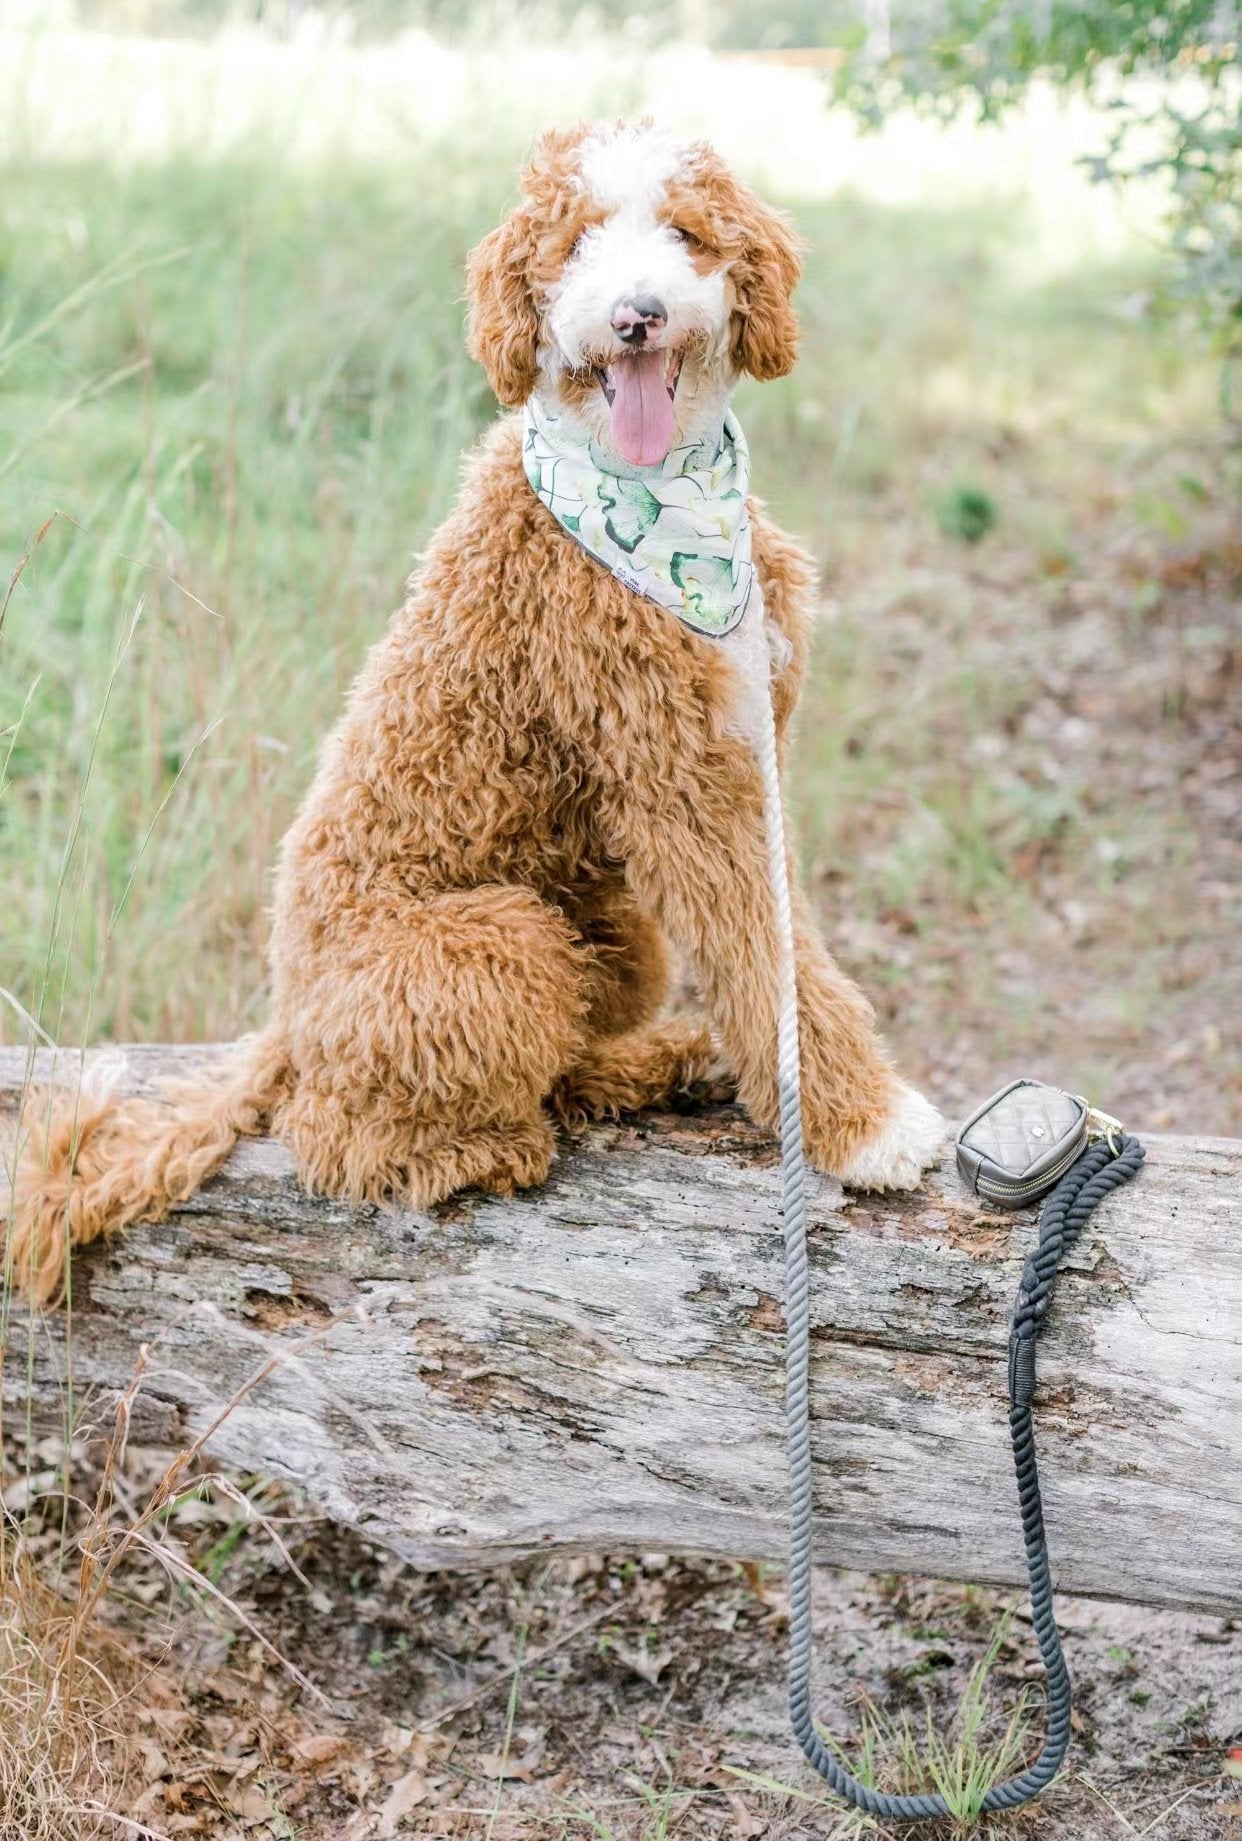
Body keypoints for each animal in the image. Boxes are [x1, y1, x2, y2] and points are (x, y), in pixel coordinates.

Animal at [7, 118, 942, 1310]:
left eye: (686, 234)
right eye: (575, 245)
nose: (635, 314)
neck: (657, 502)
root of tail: (286, 1024)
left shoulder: (749, 749)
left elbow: (774, 943)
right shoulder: (684, 779)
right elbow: (764, 953)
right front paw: (871, 1127)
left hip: (611, 931)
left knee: (566, 1047)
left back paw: (650, 1064)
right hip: (494, 945)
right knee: (336, 1135)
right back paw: (487, 1148)